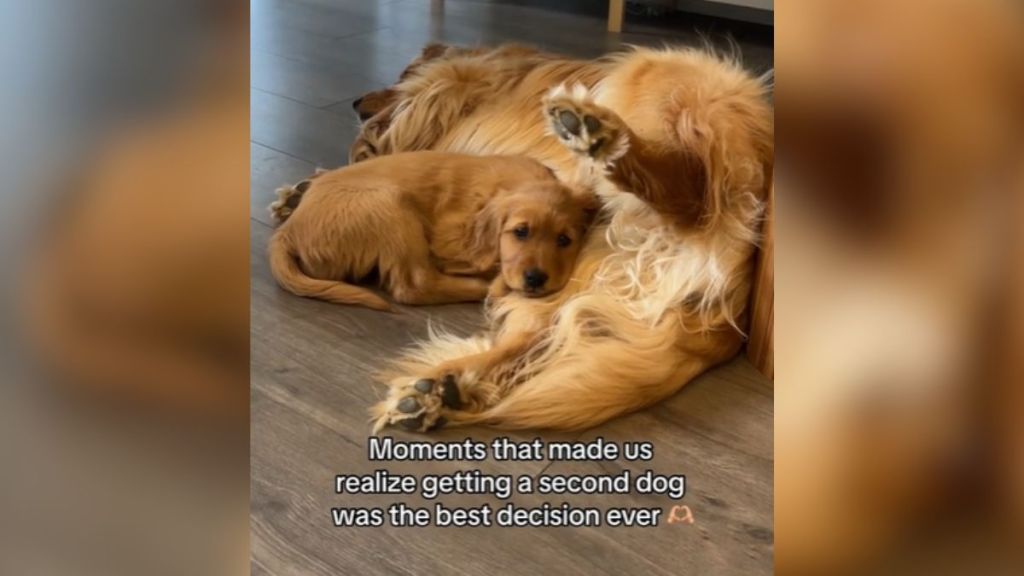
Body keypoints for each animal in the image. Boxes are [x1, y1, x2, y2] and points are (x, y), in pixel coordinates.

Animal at [268, 148, 598, 309]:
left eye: (564, 240)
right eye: (520, 232)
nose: (535, 279)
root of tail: (287, 232)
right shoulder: (448, 236)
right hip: (391, 205)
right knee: (414, 286)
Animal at [364, 45, 770, 430]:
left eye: (399, 75)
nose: (357, 103)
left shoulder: (439, 93)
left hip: (669, 79)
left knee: (691, 190)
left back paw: (599, 135)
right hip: (556, 282)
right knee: (528, 345)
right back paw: (441, 393)